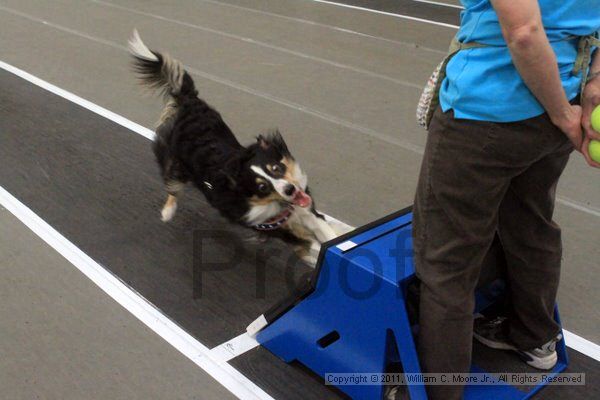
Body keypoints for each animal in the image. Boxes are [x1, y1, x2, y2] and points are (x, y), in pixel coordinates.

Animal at [129, 30, 350, 262]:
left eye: (276, 168)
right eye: (262, 187)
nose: (290, 189)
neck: (281, 205)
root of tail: (189, 101)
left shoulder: (307, 213)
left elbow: (328, 236)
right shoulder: (282, 231)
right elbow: (310, 248)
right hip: (175, 160)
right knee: (172, 184)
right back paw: (167, 211)